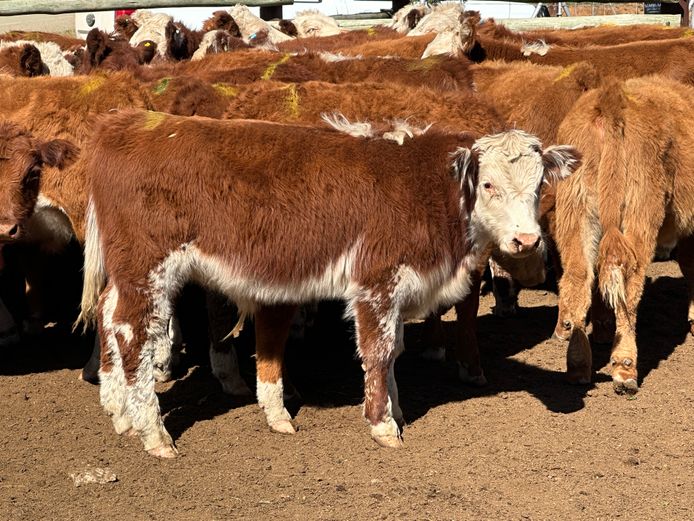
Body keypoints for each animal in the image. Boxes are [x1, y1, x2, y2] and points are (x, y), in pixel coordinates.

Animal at [72, 108, 580, 456]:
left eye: (539, 185)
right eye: (488, 184)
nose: (526, 239)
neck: (426, 189)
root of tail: (128, 121)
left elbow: (395, 349)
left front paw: (395, 409)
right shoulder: (376, 283)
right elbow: (378, 351)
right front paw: (382, 424)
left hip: (128, 273)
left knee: (108, 314)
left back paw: (118, 410)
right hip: (147, 270)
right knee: (133, 335)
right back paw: (153, 432)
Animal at [556, 75, 694, 392]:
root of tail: (612, 101)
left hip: (575, 212)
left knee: (579, 278)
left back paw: (578, 366)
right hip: (638, 212)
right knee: (629, 284)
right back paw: (625, 368)